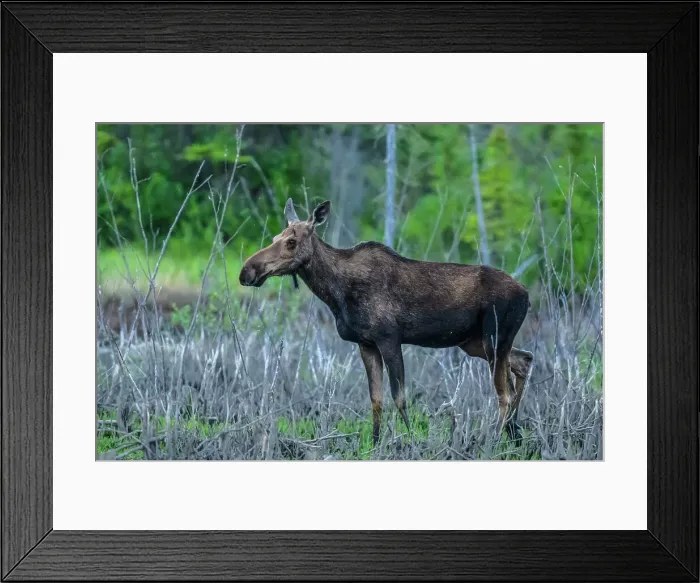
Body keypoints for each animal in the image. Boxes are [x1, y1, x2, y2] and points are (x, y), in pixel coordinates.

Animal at [239, 198, 534, 446]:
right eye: (275, 237)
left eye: (291, 241)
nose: (247, 271)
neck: (336, 293)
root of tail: (526, 294)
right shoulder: (366, 343)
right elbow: (376, 398)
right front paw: (375, 442)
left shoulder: (389, 338)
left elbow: (399, 397)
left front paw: (411, 440)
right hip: (475, 343)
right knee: (524, 360)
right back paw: (514, 435)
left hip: (494, 338)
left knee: (504, 393)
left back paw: (493, 440)